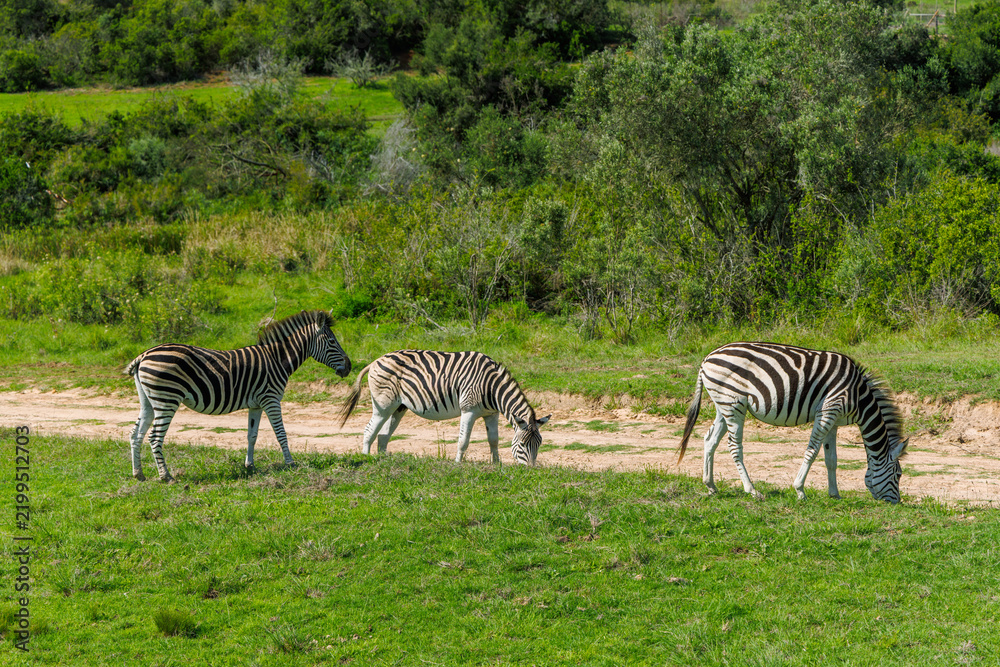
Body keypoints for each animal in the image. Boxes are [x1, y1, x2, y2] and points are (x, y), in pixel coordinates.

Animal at [124, 310, 351, 481]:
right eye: (332, 341)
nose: (349, 367)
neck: (278, 360)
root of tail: (143, 355)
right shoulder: (271, 399)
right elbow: (281, 433)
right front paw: (291, 463)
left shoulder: (256, 404)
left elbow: (252, 435)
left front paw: (250, 466)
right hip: (167, 399)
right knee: (154, 437)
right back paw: (166, 476)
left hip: (148, 401)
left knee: (135, 434)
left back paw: (139, 474)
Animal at [337, 350, 551, 465]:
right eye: (522, 444)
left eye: (539, 444)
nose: (531, 471)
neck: (491, 386)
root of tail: (375, 361)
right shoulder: (468, 409)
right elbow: (463, 440)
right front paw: (458, 463)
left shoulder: (491, 414)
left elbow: (494, 440)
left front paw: (496, 464)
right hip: (383, 405)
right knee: (369, 431)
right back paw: (367, 459)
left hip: (399, 407)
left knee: (382, 435)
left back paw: (384, 460)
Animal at [676, 342, 908, 503]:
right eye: (898, 474)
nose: (896, 502)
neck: (859, 398)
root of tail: (707, 358)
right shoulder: (827, 411)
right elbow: (812, 452)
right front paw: (800, 490)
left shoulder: (834, 420)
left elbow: (831, 459)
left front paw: (834, 494)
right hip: (733, 405)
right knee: (734, 447)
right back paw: (752, 490)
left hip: (723, 405)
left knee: (710, 440)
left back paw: (711, 486)